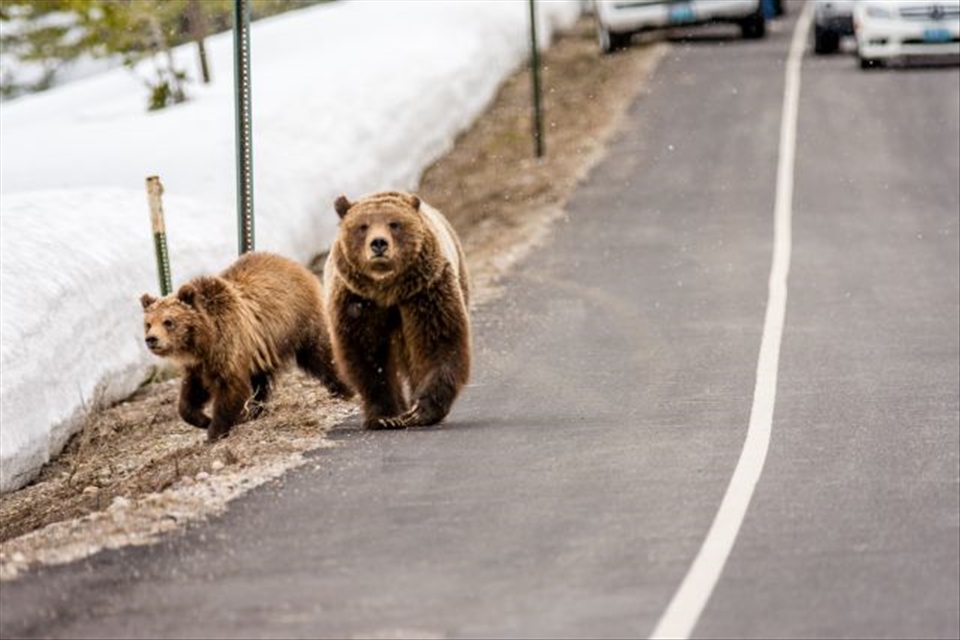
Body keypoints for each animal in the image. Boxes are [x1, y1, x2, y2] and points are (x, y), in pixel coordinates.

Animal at [140, 251, 351, 441]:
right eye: (148, 323)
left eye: (168, 322)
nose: (151, 339)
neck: (203, 341)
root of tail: (294, 264)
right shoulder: (200, 364)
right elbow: (192, 393)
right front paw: (203, 420)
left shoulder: (229, 345)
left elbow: (230, 389)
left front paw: (215, 430)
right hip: (262, 348)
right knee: (261, 380)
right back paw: (256, 409)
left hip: (300, 322)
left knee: (319, 353)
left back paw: (343, 388)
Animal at [323, 190, 471, 430]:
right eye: (363, 226)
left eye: (394, 224)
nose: (379, 243)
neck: (388, 290)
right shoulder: (358, 303)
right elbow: (368, 356)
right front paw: (387, 415)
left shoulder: (426, 293)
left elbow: (438, 341)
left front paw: (421, 410)